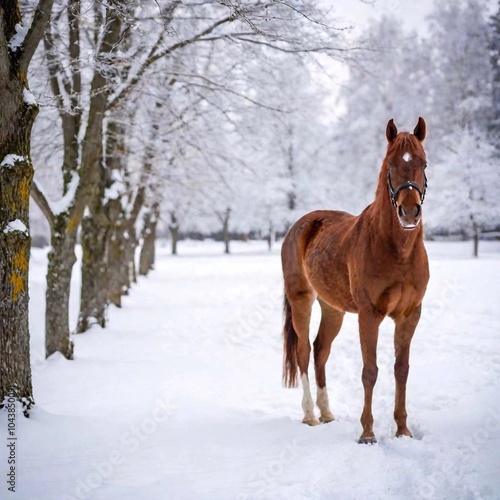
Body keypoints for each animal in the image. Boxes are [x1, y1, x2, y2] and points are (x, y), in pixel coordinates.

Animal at [282, 118, 430, 446]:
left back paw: (327, 413)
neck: (397, 249)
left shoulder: (409, 315)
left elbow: (401, 369)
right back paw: (310, 415)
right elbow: (370, 371)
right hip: (301, 299)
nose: (409, 212)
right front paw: (367, 433)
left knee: (320, 351)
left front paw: (403, 430)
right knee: (303, 352)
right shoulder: (369, 314)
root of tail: (302, 224)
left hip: (333, 309)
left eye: (424, 163)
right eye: (390, 164)